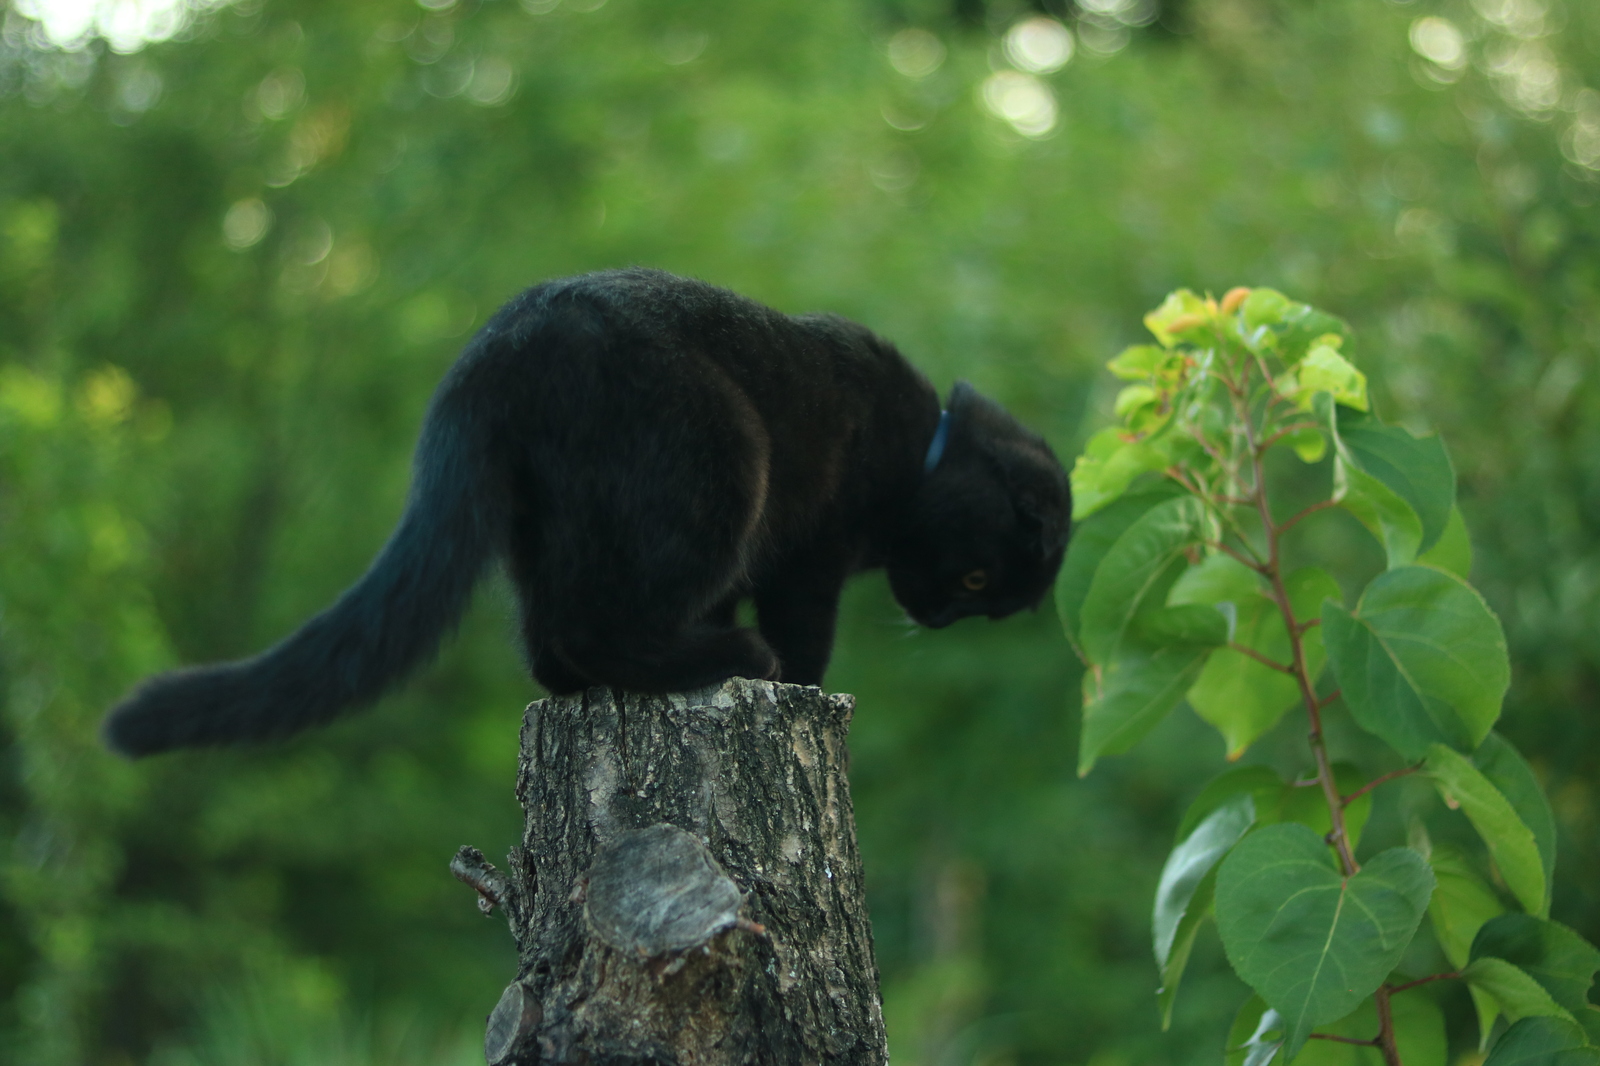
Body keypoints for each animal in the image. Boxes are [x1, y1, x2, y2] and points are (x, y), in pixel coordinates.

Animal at [106, 273, 1068, 755]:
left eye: (984, 600)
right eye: (977, 577)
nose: (938, 617)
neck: (922, 451)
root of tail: (505, 345)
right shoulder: (811, 556)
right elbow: (806, 633)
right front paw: (798, 687)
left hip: (556, 521)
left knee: (556, 637)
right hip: (722, 468)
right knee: (597, 625)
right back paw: (730, 660)